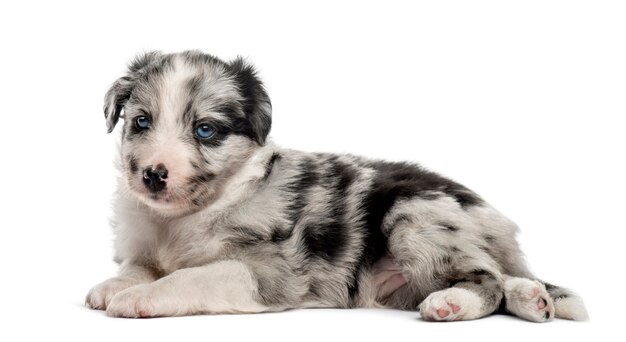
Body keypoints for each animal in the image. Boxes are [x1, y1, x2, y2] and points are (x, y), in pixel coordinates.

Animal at [85, 50, 588, 320]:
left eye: (205, 130)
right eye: (141, 121)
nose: (153, 174)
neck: (187, 216)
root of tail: (489, 215)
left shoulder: (271, 269)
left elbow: (195, 275)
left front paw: (138, 298)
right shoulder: (146, 244)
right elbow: (139, 266)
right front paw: (114, 285)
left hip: (415, 214)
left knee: (489, 279)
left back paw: (455, 303)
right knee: (510, 277)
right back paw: (534, 301)